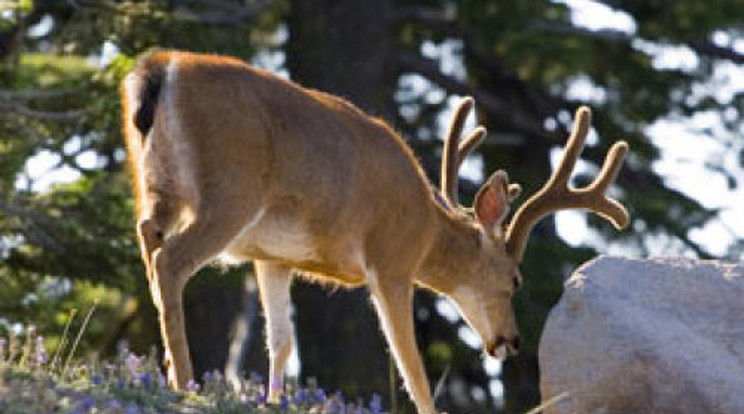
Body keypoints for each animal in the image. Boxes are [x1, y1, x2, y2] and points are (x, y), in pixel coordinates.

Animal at [120, 49, 628, 414]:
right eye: (515, 279)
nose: (512, 341)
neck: (426, 229)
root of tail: (159, 69)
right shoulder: (391, 261)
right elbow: (411, 365)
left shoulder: (273, 256)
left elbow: (281, 343)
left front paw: (275, 401)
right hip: (229, 191)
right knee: (171, 261)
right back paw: (183, 384)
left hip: (156, 187)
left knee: (148, 238)